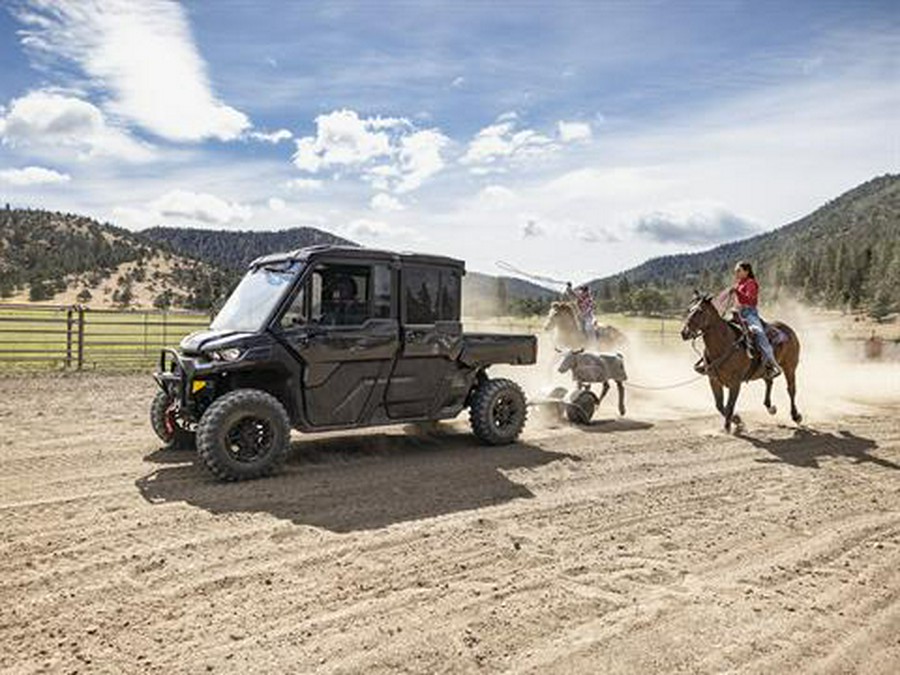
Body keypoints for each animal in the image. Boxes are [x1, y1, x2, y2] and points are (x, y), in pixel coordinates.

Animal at [684, 294, 800, 434]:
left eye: (700, 311)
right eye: (689, 309)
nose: (684, 333)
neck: (724, 343)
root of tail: (788, 329)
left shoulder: (735, 383)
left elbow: (729, 405)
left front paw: (728, 427)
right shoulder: (714, 381)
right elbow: (719, 405)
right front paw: (737, 421)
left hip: (790, 366)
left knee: (791, 389)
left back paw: (796, 415)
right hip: (766, 369)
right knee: (769, 381)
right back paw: (770, 407)